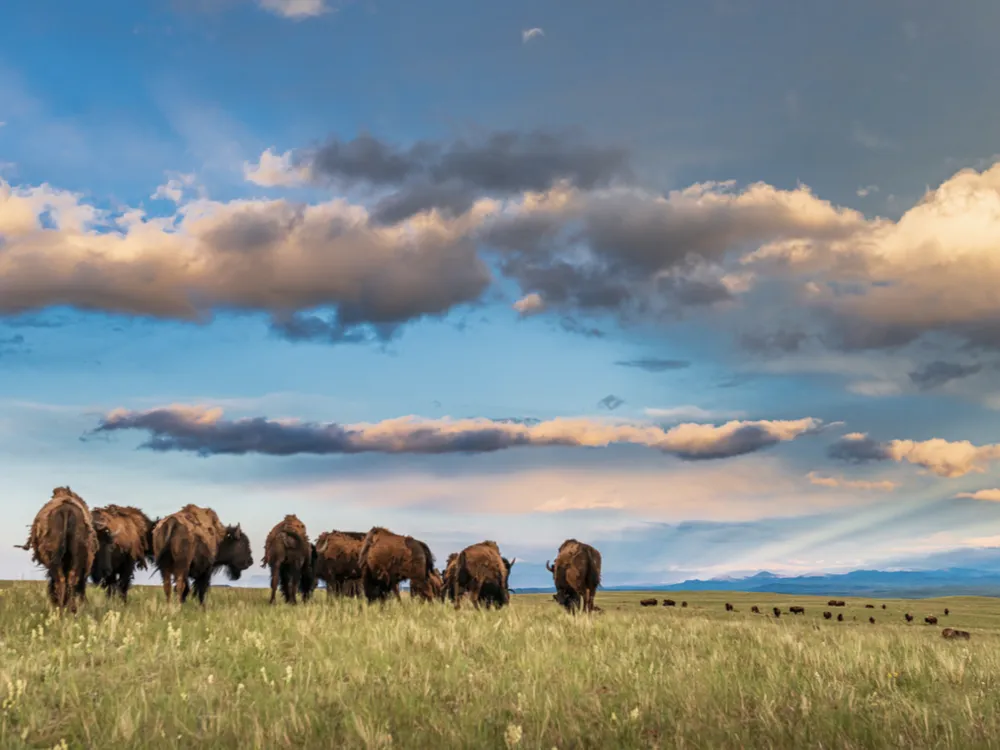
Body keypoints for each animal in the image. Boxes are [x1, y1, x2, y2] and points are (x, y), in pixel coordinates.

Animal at [17, 488, 99, 616]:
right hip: (75, 558)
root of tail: (66, 510)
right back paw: (71, 610)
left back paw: (61, 610)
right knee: (71, 579)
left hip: (55, 561)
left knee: (60, 580)